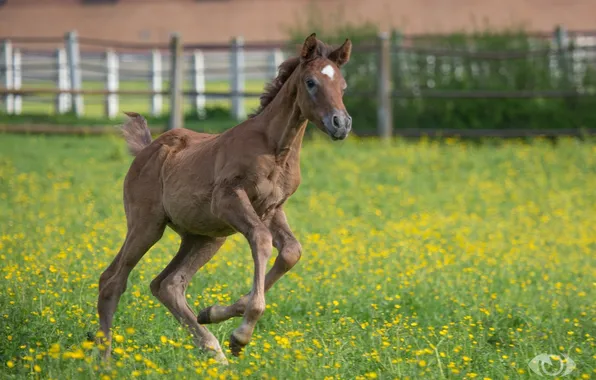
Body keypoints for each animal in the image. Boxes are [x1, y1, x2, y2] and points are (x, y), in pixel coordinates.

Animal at [95, 33, 352, 366]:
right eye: (311, 82)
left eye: (343, 85)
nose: (341, 124)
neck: (275, 148)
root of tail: (147, 150)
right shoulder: (229, 199)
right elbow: (262, 240)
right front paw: (240, 335)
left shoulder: (272, 208)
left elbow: (291, 252)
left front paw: (215, 312)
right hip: (146, 225)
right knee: (112, 281)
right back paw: (103, 360)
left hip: (205, 236)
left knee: (168, 284)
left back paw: (213, 350)